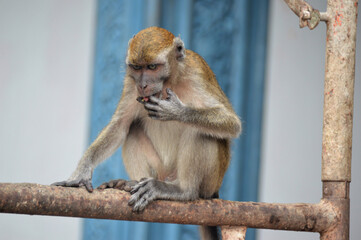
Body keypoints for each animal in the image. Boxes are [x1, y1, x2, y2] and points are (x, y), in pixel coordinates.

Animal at [52, 26, 239, 240]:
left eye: (152, 67)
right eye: (136, 67)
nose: (142, 85)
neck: (170, 81)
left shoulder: (197, 73)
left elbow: (232, 124)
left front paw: (175, 111)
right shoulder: (130, 83)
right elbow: (120, 126)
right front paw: (81, 173)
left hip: (210, 182)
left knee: (198, 132)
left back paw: (183, 190)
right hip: (160, 170)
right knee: (133, 129)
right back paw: (132, 183)